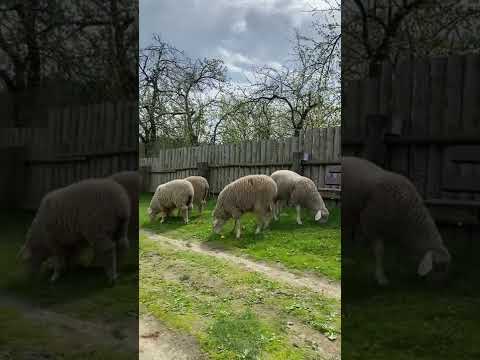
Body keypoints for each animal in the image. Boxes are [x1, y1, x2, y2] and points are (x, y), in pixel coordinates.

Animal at [344, 156, 452, 286]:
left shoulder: (398, 230)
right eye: (438, 267)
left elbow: (398, 252)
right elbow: (379, 251)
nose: (441, 285)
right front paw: (381, 278)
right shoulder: (372, 224)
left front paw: (399, 270)